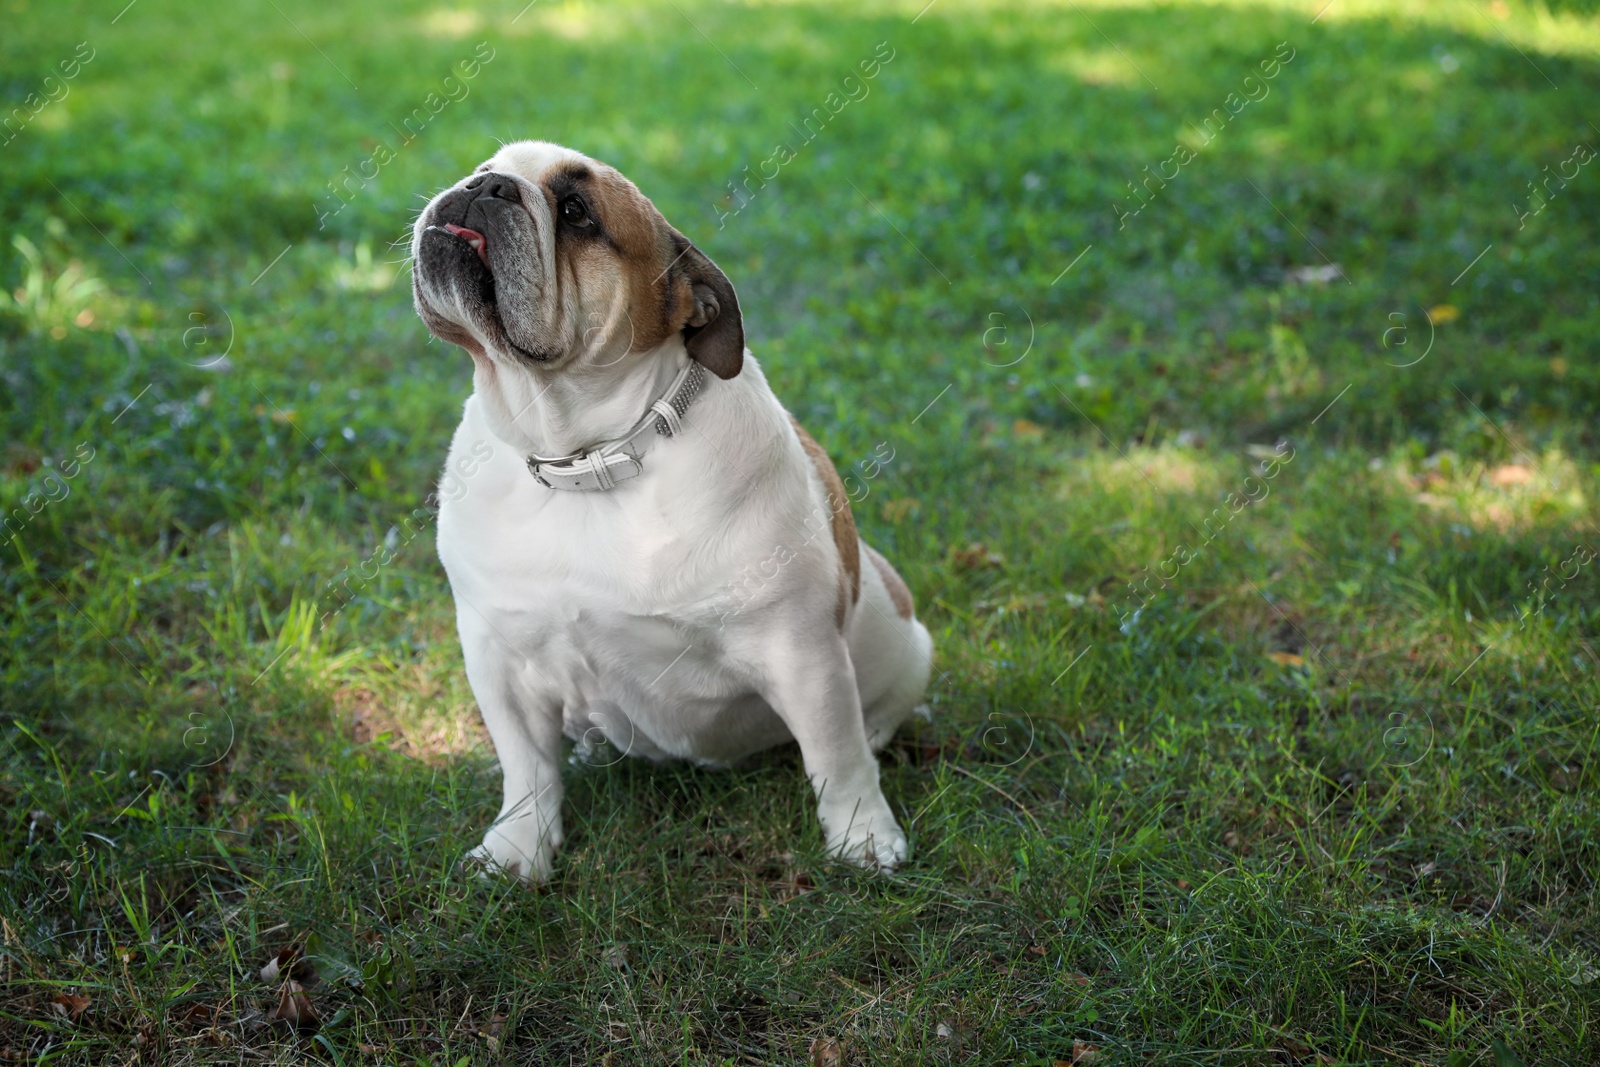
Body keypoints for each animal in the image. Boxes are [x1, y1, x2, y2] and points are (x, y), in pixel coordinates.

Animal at [412, 137, 934, 883]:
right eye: (487, 166)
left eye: (577, 212)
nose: (487, 188)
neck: (588, 457)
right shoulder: (498, 657)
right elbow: (527, 769)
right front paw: (518, 850)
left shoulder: (801, 654)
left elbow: (837, 756)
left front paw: (863, 835)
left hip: (910, 646)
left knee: (869, 724)